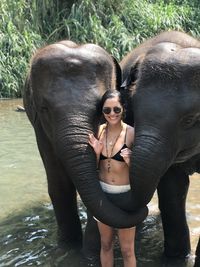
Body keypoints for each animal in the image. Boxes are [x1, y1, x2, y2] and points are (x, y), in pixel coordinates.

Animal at [23, 39, 148, 255]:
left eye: (99, 108)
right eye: (45, 109)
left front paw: (89, 253)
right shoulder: (39, 128)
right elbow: (58, 183)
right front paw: (67, 247)